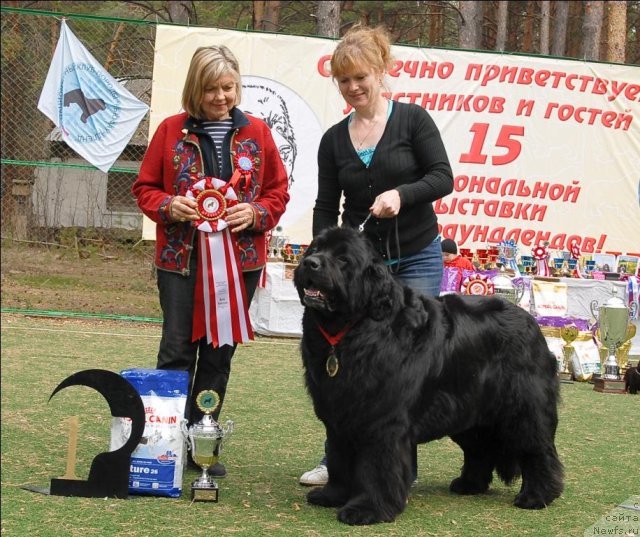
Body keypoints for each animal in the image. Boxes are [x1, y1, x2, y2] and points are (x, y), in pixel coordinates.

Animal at [292, 226, 564, 524]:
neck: (351, 329)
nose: (309, 263)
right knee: (480, 448)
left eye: (343, 259)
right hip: (467, 409)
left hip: (523, 408)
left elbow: (377, 466)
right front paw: (332, 495)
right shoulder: (339, 412)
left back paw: (536, 496)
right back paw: (469, 484)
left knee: (537, 449)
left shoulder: (383, 419)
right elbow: (339, 457)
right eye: (315, 249)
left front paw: (367, 509)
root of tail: (531, 323)